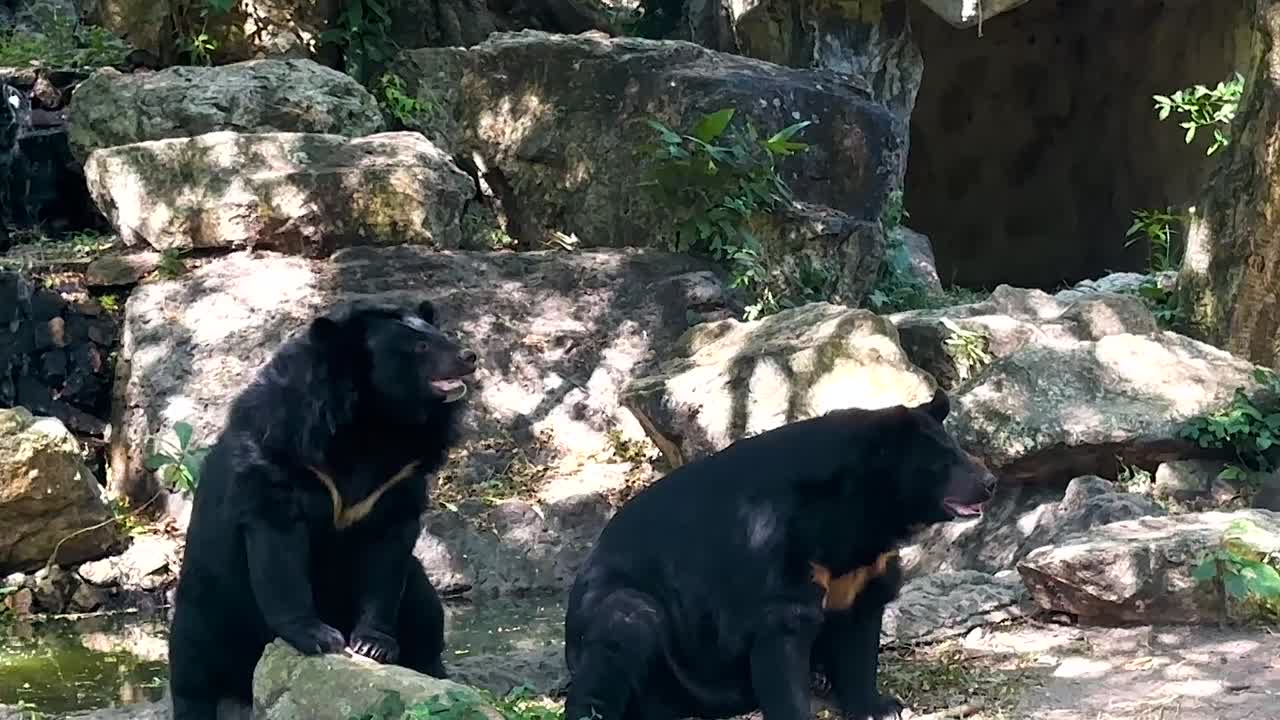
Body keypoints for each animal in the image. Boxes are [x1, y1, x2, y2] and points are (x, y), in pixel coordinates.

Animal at [167, 299, 477, 720]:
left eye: (440, 335)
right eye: (420, 347)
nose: (469, 357)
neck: (377, 424)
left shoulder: (398, 478)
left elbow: (387, 556)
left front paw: (372, 645)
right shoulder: (281, 457)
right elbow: (279, 549)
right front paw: (319, 637)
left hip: (417, 585)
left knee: (426, 611)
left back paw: (435, 673)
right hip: (207, 600)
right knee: (192, 663)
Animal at [563, 389, 995, 720]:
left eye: (960, 451)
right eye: (946, 461)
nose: (990, 482)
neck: (856, 511)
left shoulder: (862, 565)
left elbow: (859, 627)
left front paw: (879, 707)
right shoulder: (775, 540)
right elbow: (783, 630)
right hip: (639, 620)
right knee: (624, 628)